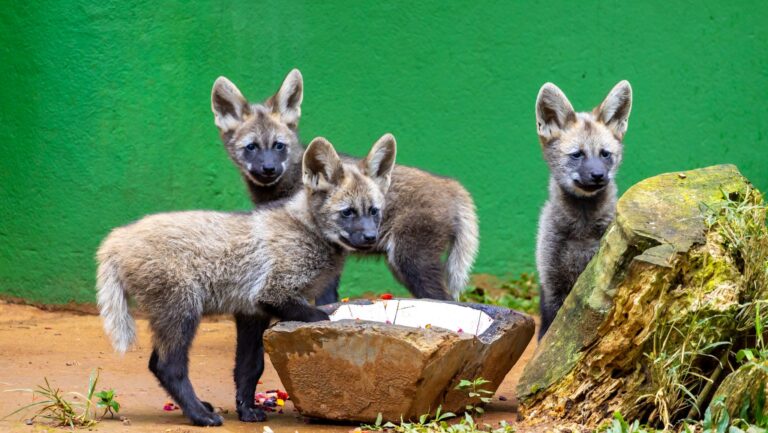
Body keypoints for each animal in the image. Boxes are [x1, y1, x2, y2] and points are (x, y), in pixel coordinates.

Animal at [96, 134, 396, 426]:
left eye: (373, 211)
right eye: (348, 212)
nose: (371, 238)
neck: (306, 230)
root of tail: (115, 239)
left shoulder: (252, 312)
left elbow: (250, 368)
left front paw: (247, 410)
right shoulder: (273, 294)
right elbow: (320, 317)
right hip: (183, 311)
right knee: (167, 366)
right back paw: (200, 415)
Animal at [534, 80, 632, 339]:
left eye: (605, 154)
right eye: (577, 154)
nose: (598, 176)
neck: (582, 229)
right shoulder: (551, 284)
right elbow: (547, 336)